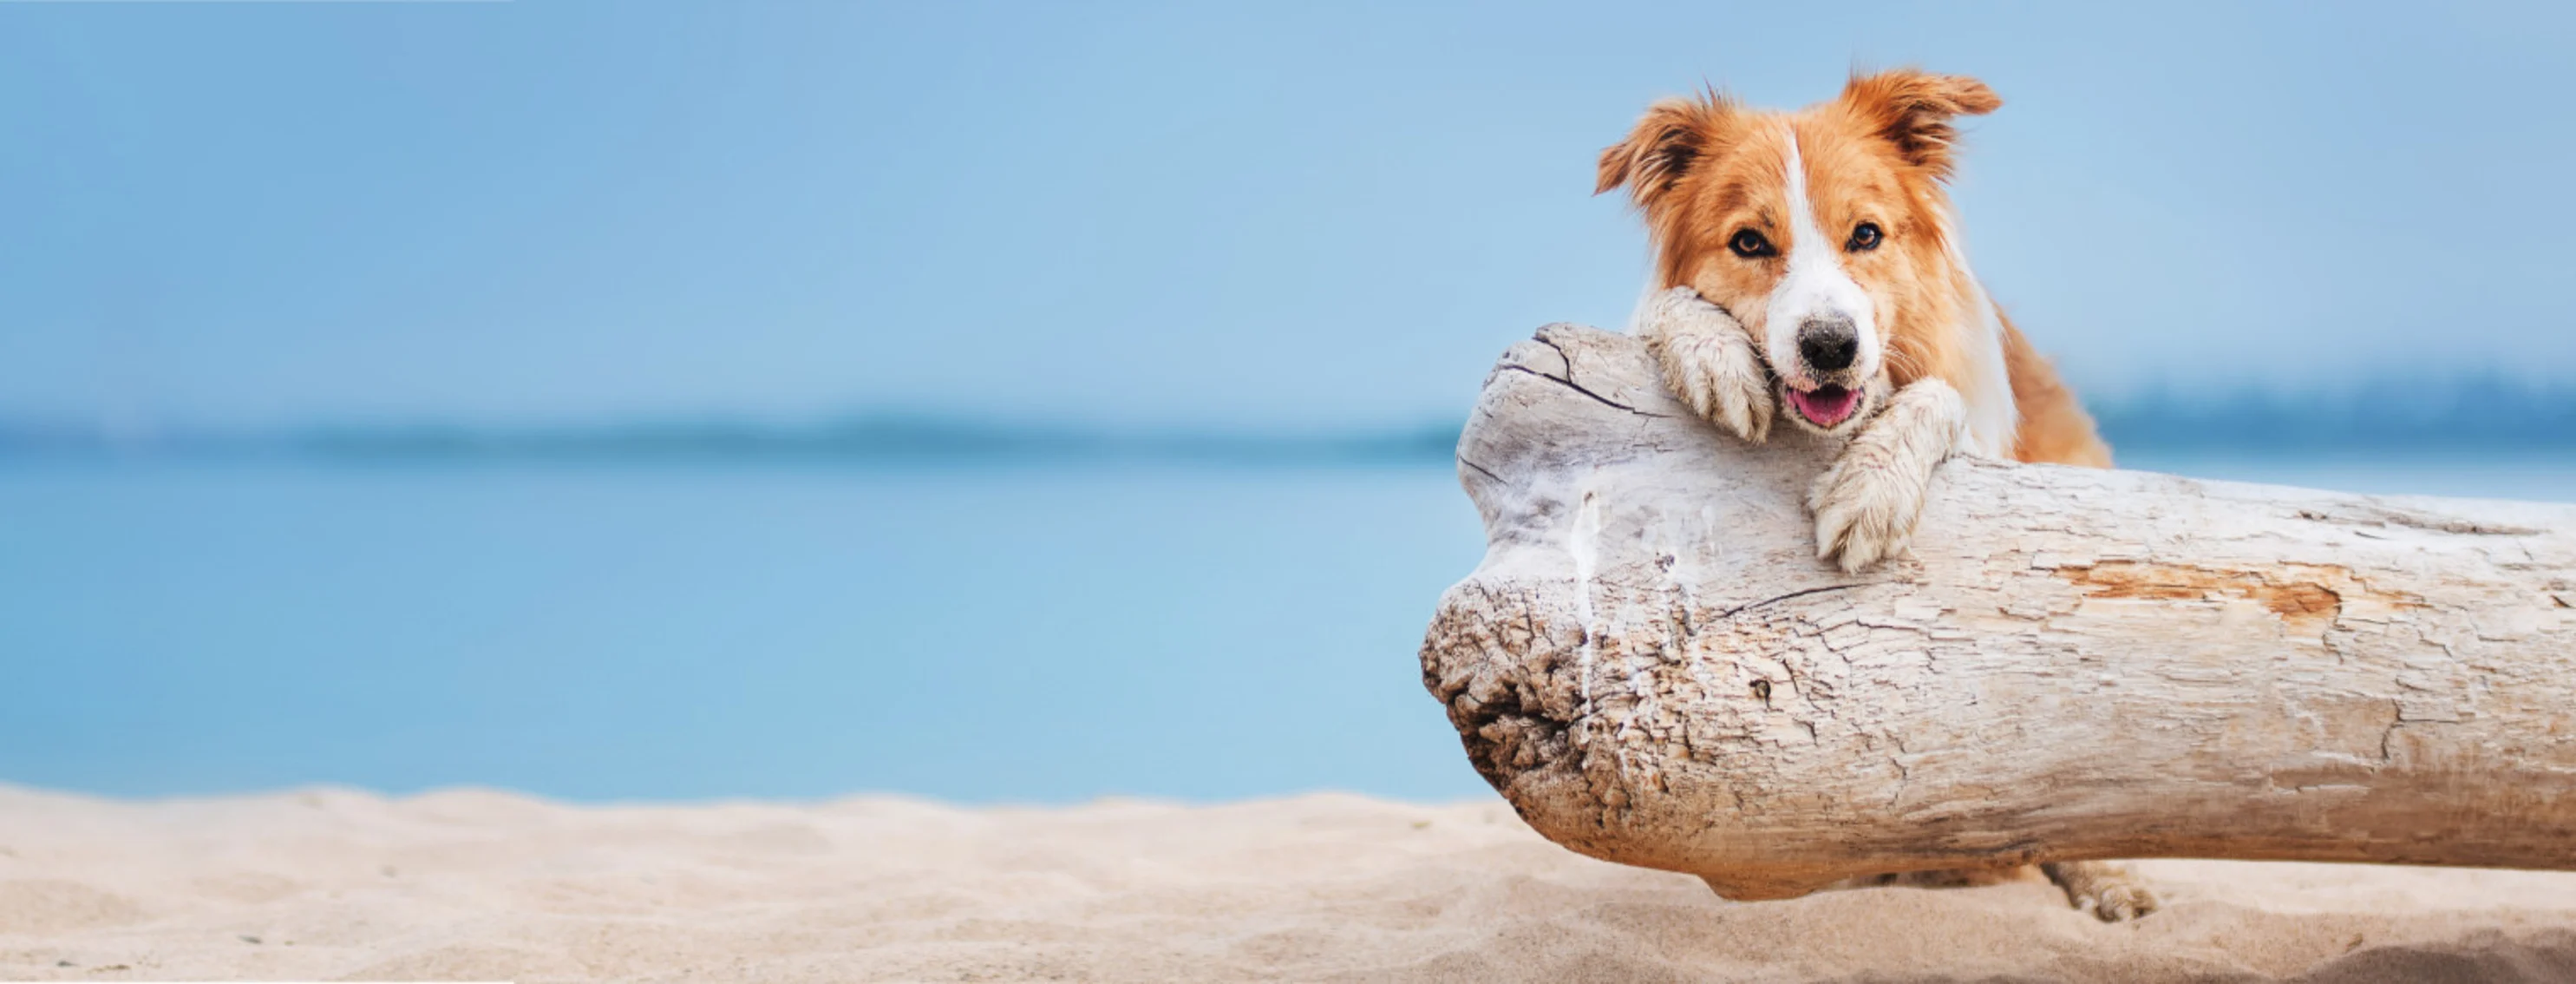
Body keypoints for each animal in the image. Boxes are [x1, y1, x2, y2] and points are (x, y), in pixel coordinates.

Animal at [1586, 69, 2153, 922]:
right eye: (1749, 243)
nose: (1831, 346)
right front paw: (1713, 354)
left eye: (1865, 235)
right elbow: (1669, 307)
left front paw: (1871, 492)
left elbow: (1935, 401)